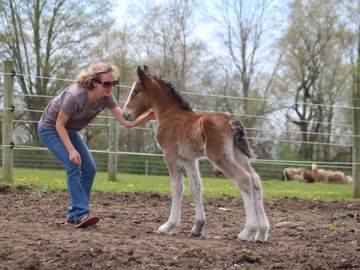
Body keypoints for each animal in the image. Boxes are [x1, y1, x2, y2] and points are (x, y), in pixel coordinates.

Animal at [122, 66, 268, 243]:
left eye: (136, 92)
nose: (125, 114)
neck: (170, 114)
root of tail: (231, 121)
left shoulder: (170, 156)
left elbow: (177, 187)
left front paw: (168, 226)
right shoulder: (189, 159)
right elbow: (196, 186)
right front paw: (198, 227)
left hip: (219, 157)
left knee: (244, 179)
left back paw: (247, 231)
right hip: (237, 155)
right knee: (255, 179)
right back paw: (262, 233)